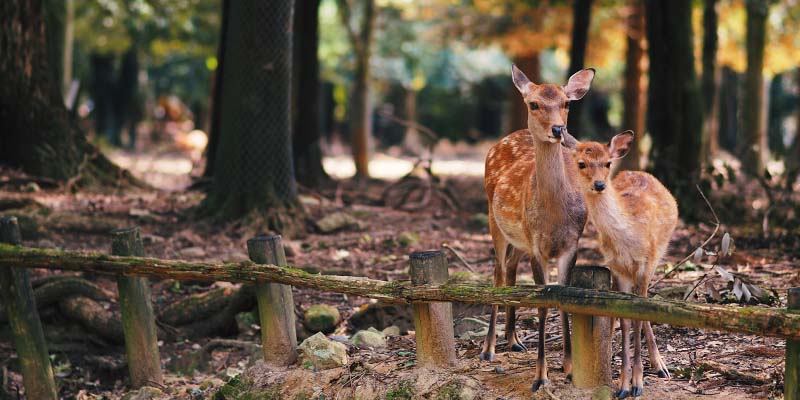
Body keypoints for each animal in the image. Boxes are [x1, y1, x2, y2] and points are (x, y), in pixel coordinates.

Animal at [481, 64, 595, 391]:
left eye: (567, 103)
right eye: (534, 104)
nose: (558, 130)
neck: (554, 217)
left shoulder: (571, 244)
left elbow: (565, 299)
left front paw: (569, 367)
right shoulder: (536, 246)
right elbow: (543, 304)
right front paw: (540, 376)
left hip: (517, 238)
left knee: (509, 270)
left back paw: (514, 340)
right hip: (495, 221)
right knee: (497, 274)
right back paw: (489, 349)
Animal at [568, 131, 677, 398]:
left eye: (607, 163)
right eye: (581, 163)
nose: (599, 185)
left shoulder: (644, 263)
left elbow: (638, 315)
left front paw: (637, 382)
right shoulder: (617, 269)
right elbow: (626, 318)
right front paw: (623, 383)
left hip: (658, 255)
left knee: (646, 299)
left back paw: (661, 366)